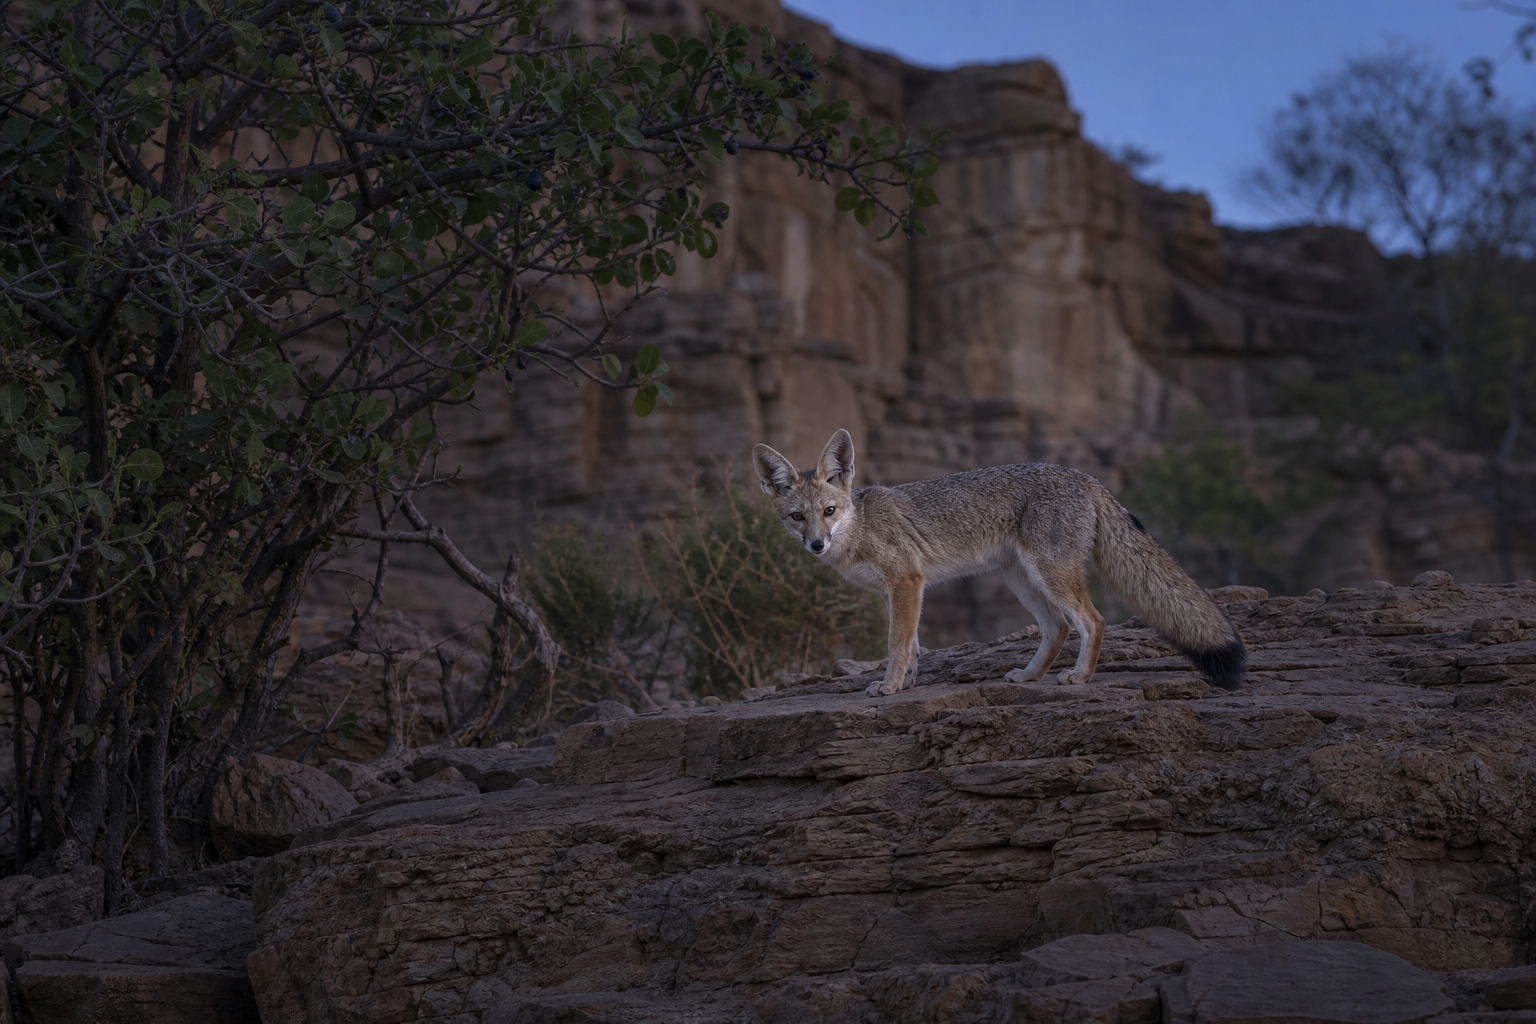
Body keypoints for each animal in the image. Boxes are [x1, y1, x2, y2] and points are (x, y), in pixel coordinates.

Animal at [752, 429, 1246, 697]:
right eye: (798, 517)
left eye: (829, 511)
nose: (816, 545)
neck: (861, 527)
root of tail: (1083, 475)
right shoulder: (907, 589)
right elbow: (913, 647)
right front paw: (906, 685)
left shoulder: (906, 581)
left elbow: (896, 644)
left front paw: (888, 687)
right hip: (1021, 578)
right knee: (1058, 627)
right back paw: (1029, 676)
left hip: (1049, 573)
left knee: (1093, 621)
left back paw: (1080, 677)